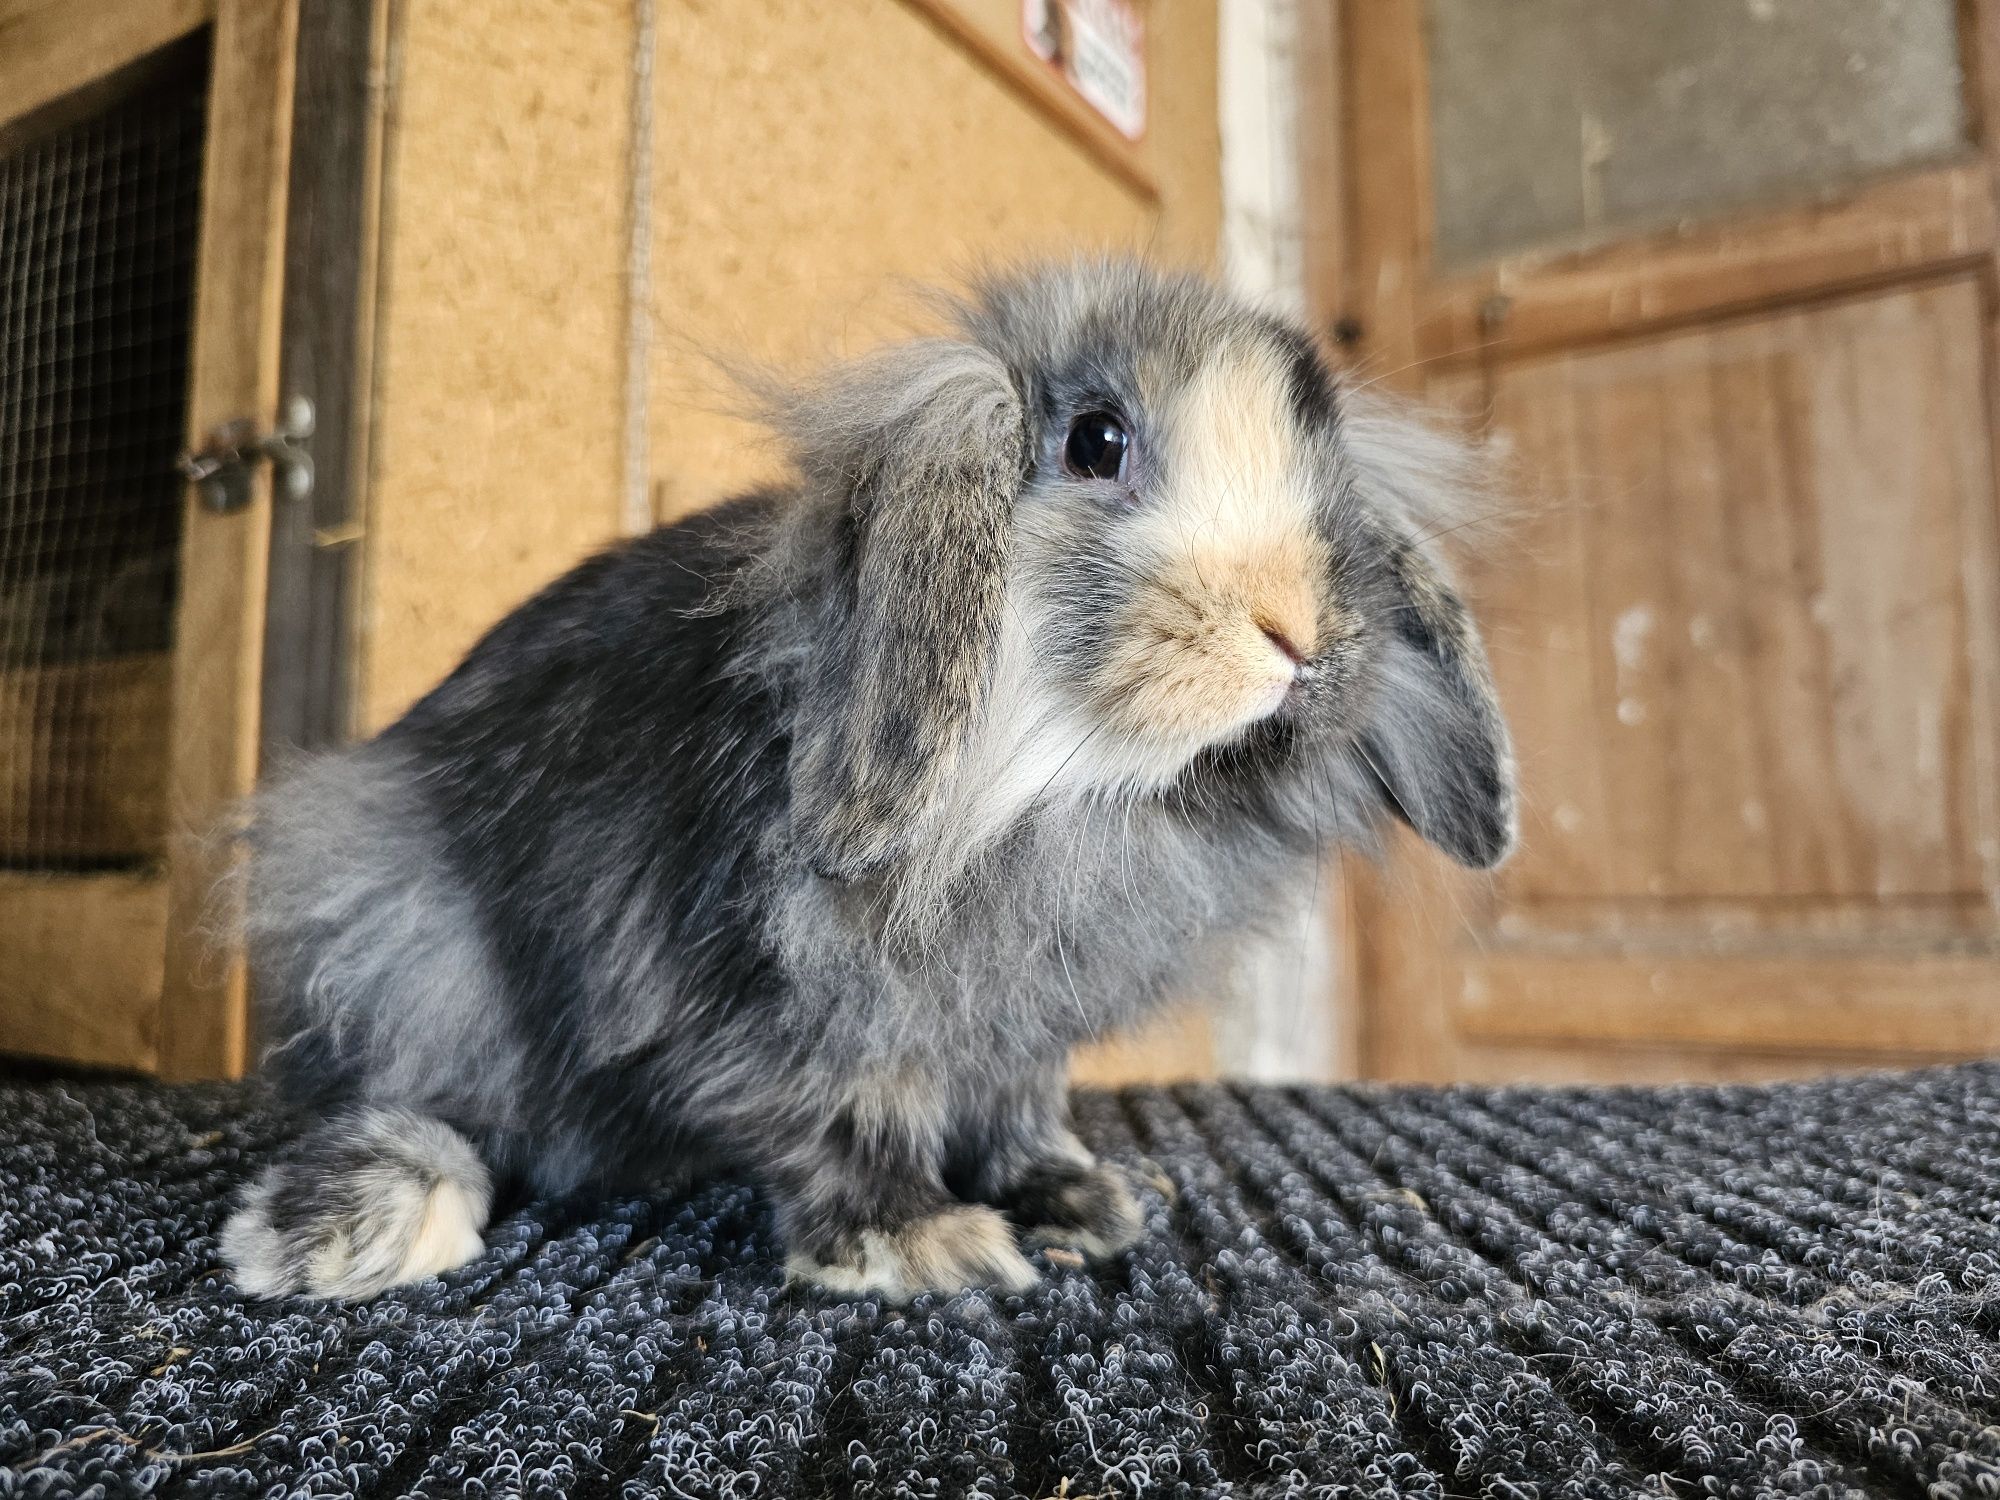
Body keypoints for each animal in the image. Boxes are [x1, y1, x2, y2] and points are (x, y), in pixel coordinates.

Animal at [223, 258, 1512, 1304]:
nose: (1295, 633)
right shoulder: (799, 1013)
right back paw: (350, 1222)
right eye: (1094, 443)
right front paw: (926, 1246)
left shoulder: (1011, 1025)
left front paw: (1078, 1201)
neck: (1050, 794)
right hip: (403, 931)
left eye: (1323, 473)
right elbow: (849, 1125)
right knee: (424, 1094)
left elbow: (1018, 1108)